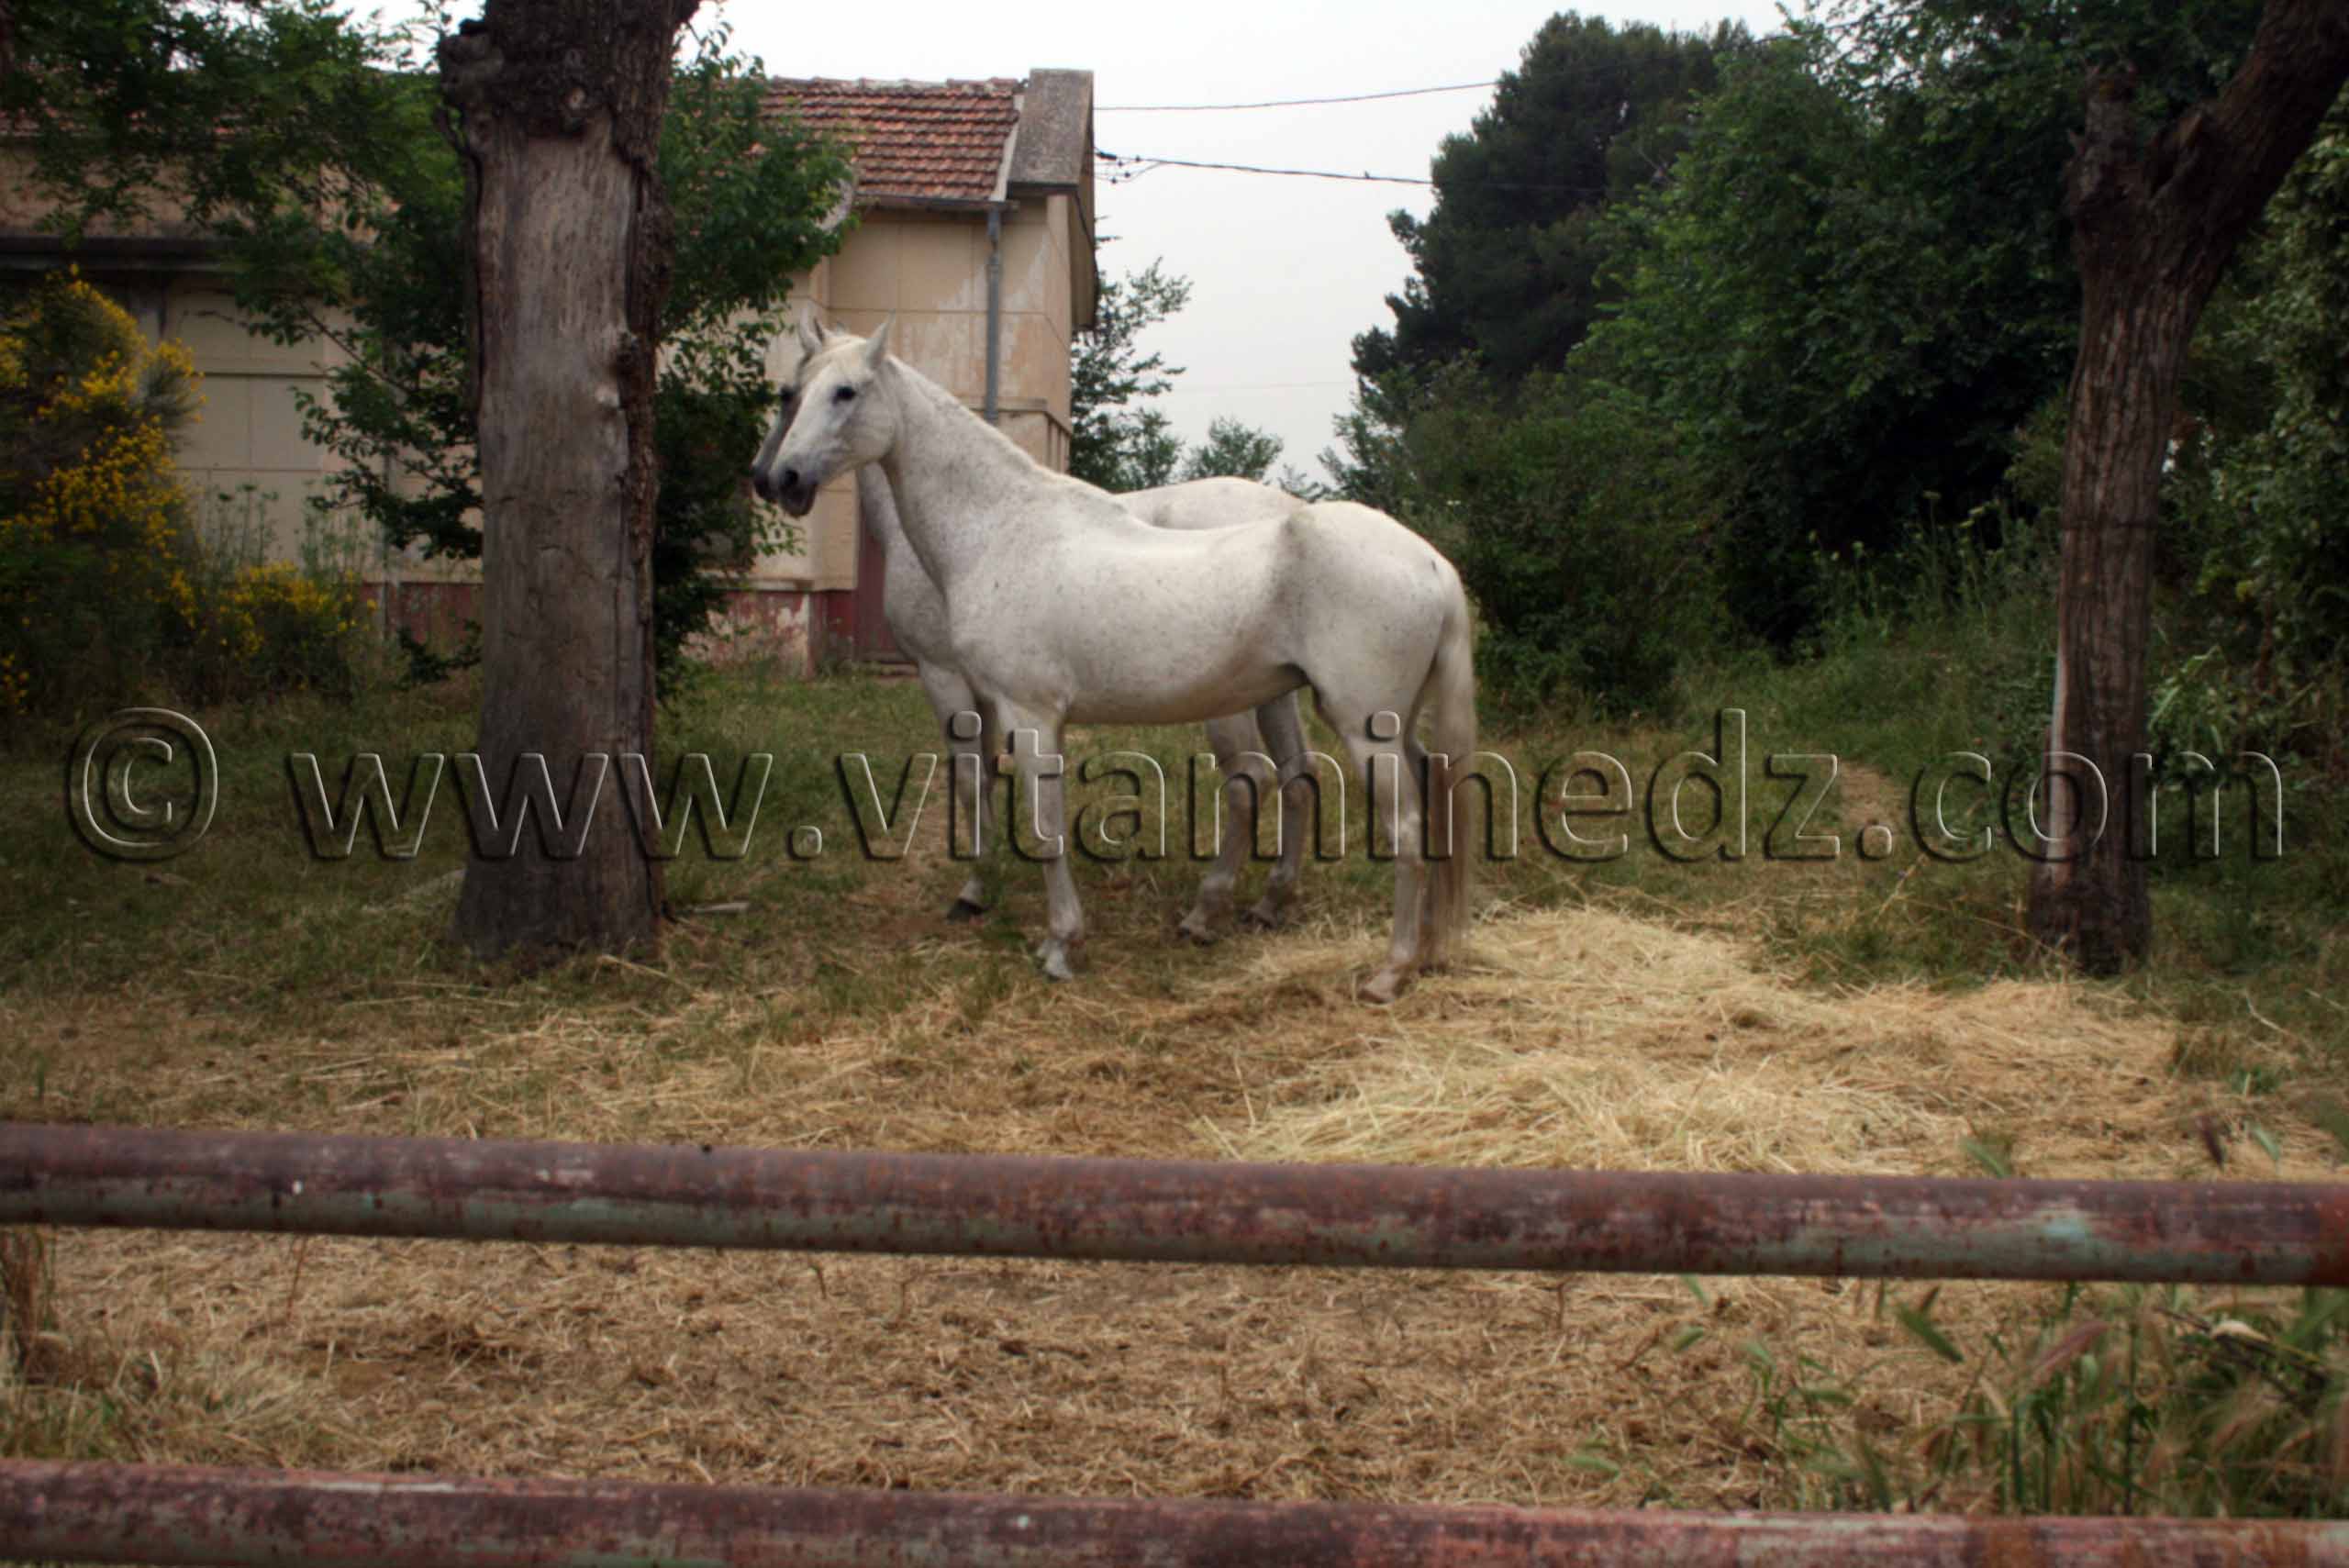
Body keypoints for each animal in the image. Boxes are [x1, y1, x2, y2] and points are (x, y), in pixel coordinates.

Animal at [851, 456, 1314, 943]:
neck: (968, 522)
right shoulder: (991, 694)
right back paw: (1269, 905)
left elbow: (969, 782)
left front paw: (975, 891)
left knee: (1251, 783)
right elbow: (990, 776)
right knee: (1298, 776)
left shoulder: (942, 675)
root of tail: (1289, 510)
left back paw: (1202, 916)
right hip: (1273, 695)